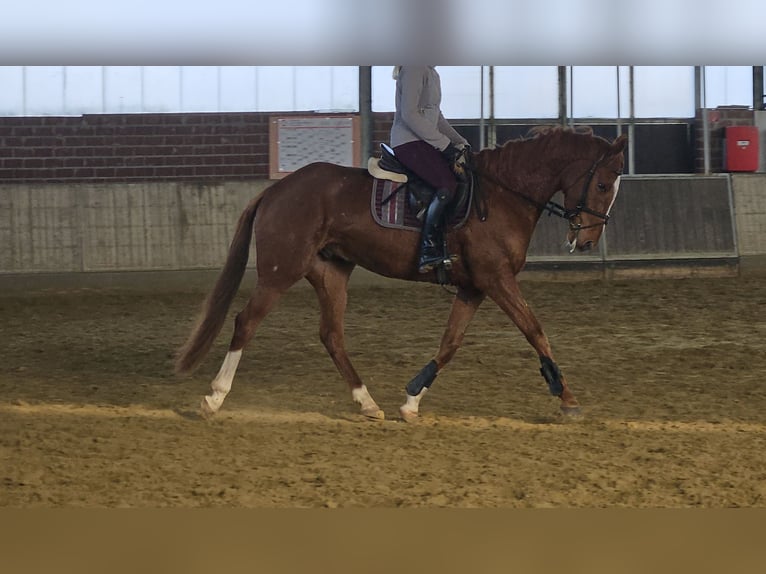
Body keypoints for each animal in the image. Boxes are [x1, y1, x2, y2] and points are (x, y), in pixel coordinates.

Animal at [175, 126, 627, 422]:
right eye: (604, 185)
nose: (588, 240)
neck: (502, 195)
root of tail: (275, 190)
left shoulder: (474, 287)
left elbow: (450, 344)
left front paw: (411, 402)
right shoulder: (497, 280)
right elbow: (535, 330)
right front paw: (566, 398)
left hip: (331, 272)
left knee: (331, 335)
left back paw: (367, 403)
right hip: (280, 271)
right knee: (246, 322)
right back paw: (214, 398)